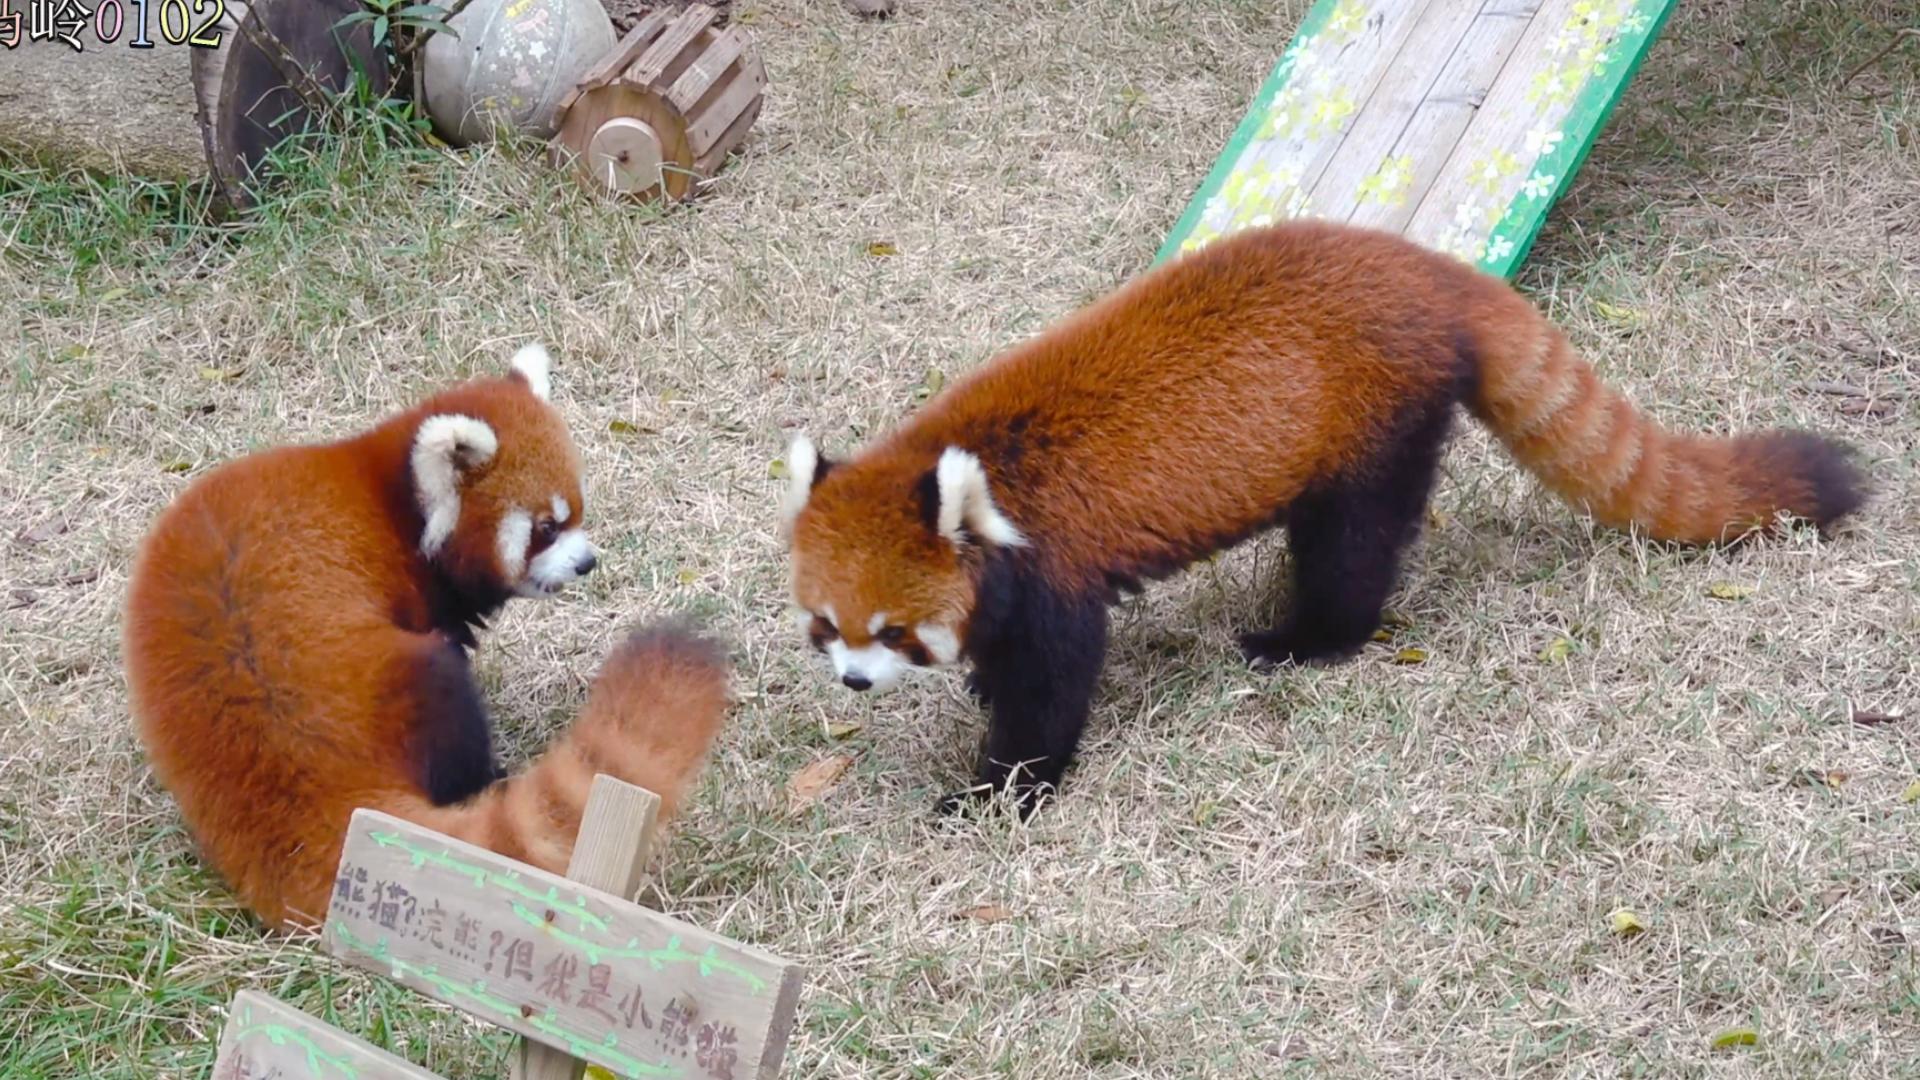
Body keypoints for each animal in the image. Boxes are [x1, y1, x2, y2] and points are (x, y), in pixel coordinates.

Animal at [123, 343, 729, 926]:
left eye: (578, 512)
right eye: (546, 528)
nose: (587, 563)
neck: (395, 499)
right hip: (391, 684)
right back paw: (484, 779)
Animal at [771, 220, 1866, 814]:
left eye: (894, 631)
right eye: (827, 626)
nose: (855, 681)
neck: (973, 468)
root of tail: (1425, 269)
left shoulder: (1055, 567)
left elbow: (1051, 690)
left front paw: (999, 789)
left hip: (1373, 422)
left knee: (1351, 546)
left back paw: (1305, 639)